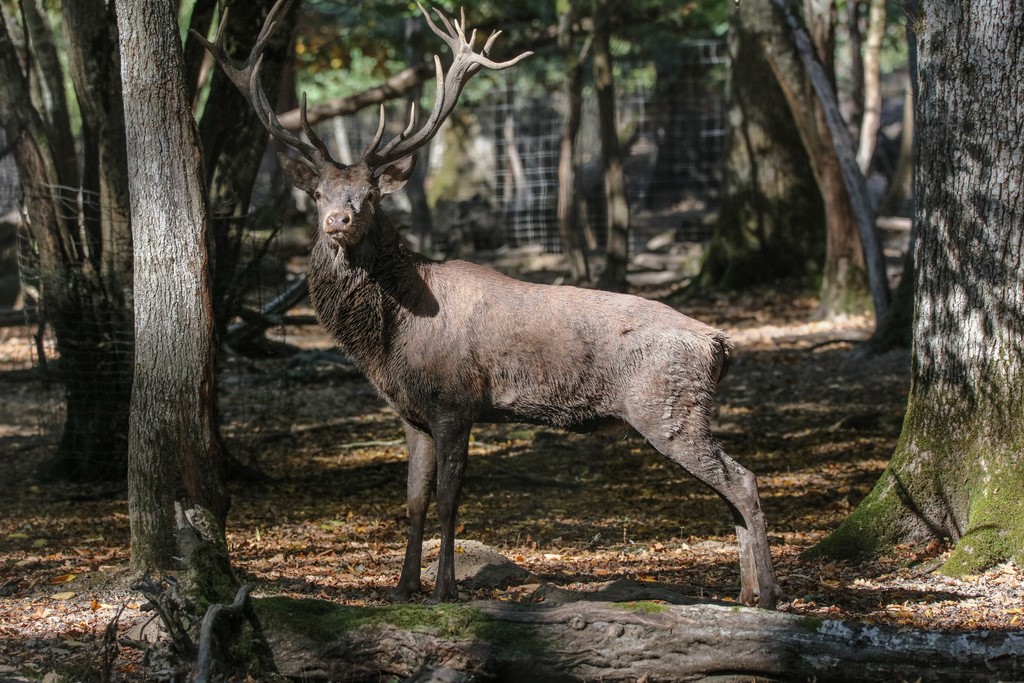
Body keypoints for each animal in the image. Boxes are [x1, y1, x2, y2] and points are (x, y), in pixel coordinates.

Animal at [198, 0, 779, 609]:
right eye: (318, 194)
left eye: (371, 195)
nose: (339, 219)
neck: (389, 341)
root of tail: (721, 344)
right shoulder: (412, 414)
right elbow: (414, 498)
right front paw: (404, 586)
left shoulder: (456, 402)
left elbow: (450, 498)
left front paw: (445, 588)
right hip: (679, 410)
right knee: (730, 488)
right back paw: (745, 592)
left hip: (667, 408)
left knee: (743, 480)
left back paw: (767, 594)